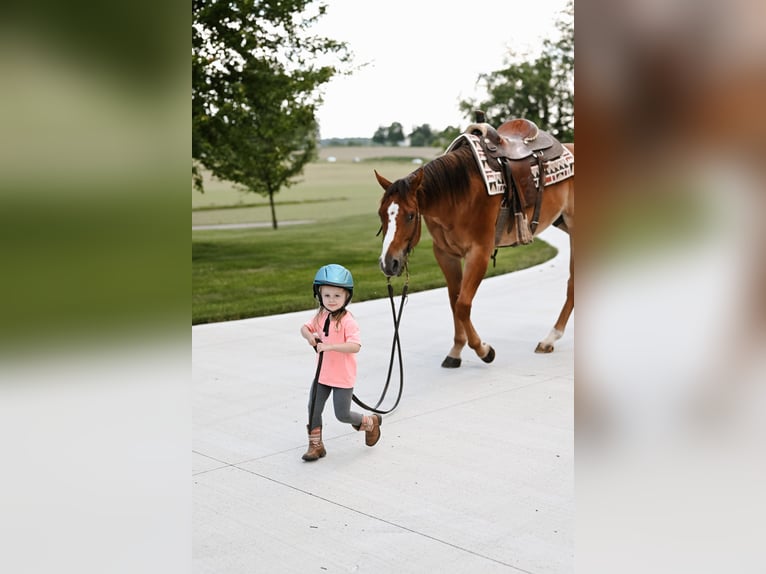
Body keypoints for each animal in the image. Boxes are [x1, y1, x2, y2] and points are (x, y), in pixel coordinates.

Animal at [376, 131, 572, 368]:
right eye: (380, 214)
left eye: (411, 215)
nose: (388, 263)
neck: (457, 195)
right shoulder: (445, 254)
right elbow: (454, 300)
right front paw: (456, 350)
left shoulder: (478, 253)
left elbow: (463, 304)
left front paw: (484, 350)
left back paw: (550, 338)